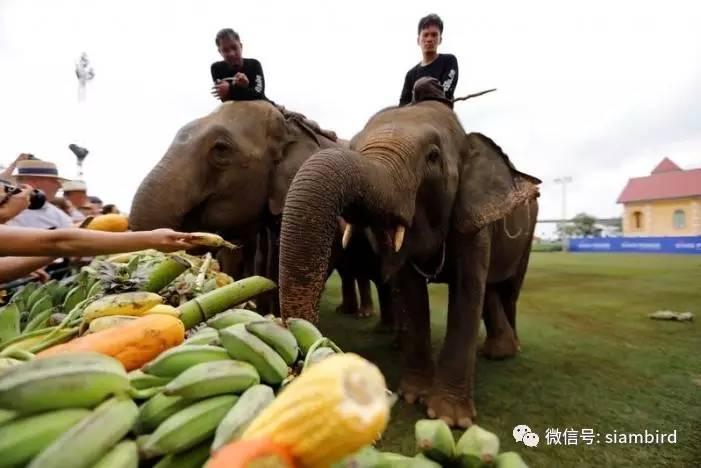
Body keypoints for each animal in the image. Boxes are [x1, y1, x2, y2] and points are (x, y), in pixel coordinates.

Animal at [276, 81, 540, 428]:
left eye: (433, 157)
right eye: (354, 147)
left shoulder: (473, 220)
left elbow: (467, 291)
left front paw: (448, 418)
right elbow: (411, 290)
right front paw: (414, 396)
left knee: (508, 291)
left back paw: (510, 350)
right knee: (492, 291)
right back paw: (497, 350)